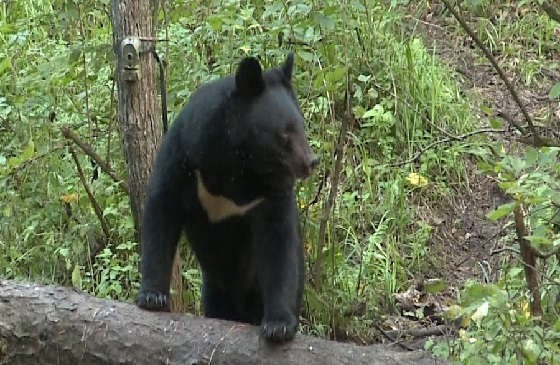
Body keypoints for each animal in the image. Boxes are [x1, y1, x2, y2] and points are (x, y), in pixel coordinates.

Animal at [136, 53, 318, 342]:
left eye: (302, 126)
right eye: (284, 133)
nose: (311, 162)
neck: (240, 159)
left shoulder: (273, 189)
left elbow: (279, 241)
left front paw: (278, 325)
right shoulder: (184, 151)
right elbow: (163, 207)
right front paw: (153, 296)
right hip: (213, 286)